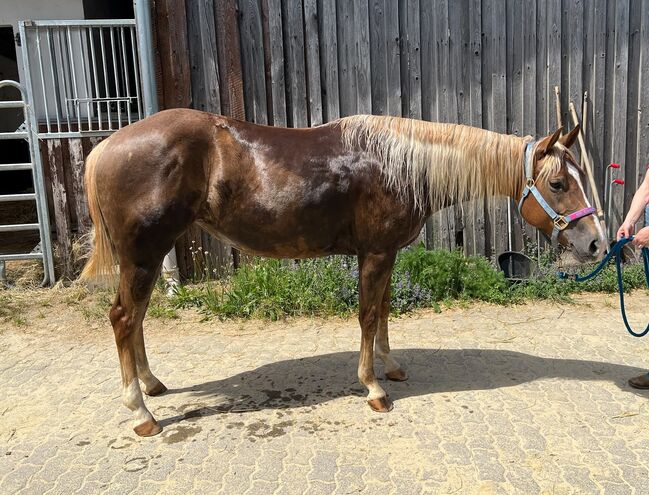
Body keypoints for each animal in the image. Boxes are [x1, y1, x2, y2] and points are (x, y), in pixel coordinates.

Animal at [80, 110, 606, 436]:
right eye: (558, 183)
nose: (596, 243)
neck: (399, 165)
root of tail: (106, 147)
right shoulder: (374, 253)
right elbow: (369, 315)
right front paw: (373, 388)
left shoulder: (385, 254)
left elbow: (386, 311)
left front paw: (390, 367)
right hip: (143, 256)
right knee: (124, 318)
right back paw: (141, 412)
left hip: (147, 257)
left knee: (136, 318)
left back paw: (151, 385)